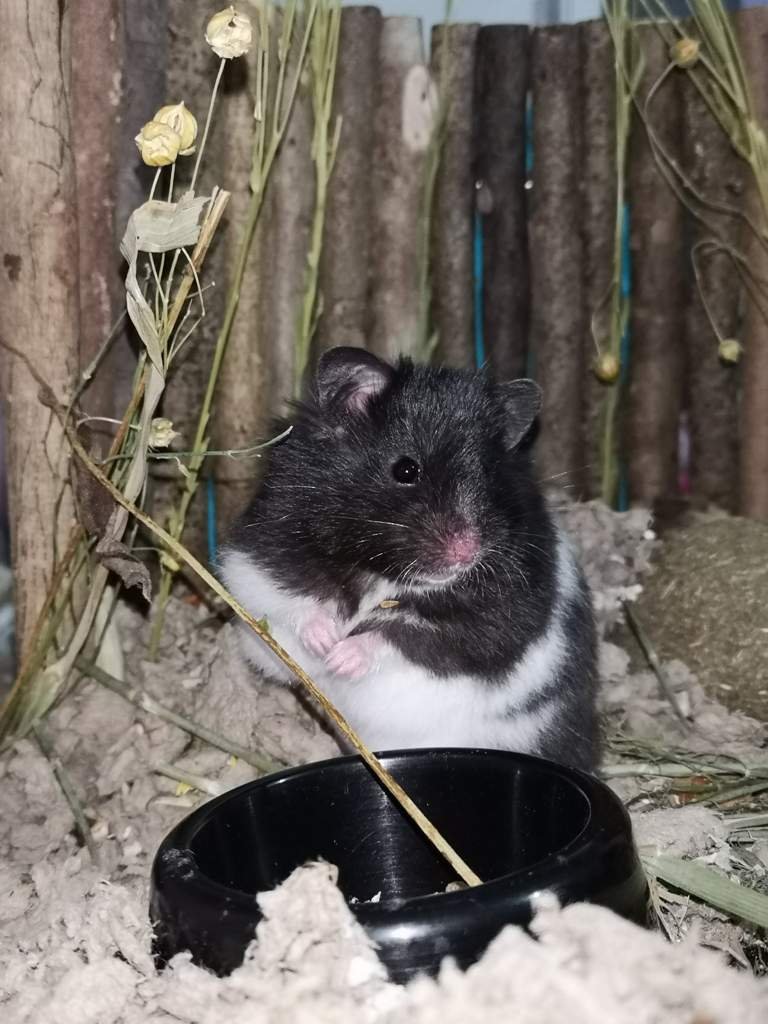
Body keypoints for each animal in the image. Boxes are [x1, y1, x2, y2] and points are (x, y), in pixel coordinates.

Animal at [219, 347, 599, 771]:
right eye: (406, 469)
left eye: (489, 477)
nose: (467, 552)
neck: (382, 569)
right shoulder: (259, 556)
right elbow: (291, 600)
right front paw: (326, 643)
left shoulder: (495, 622)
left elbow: (407, 634)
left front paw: (340, 659)